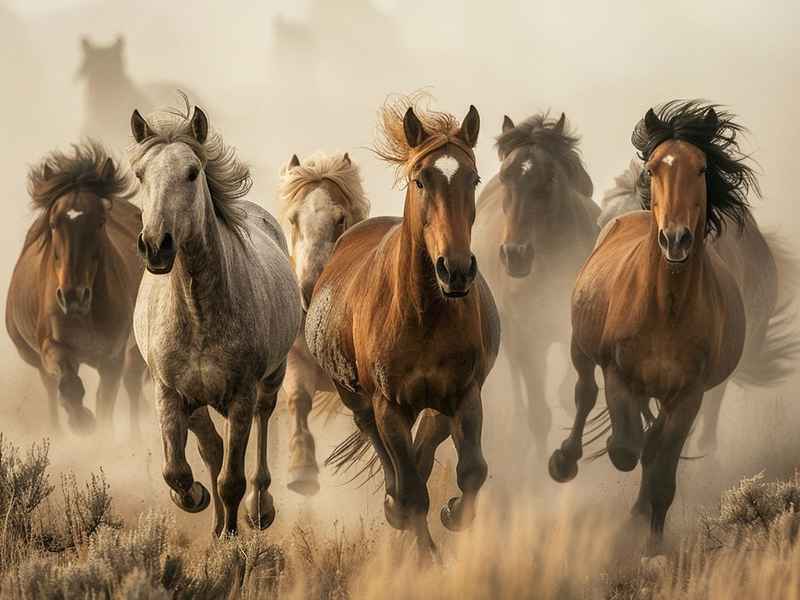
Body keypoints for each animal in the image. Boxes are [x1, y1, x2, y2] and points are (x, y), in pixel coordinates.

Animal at [6, 141, 147, 436]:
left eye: (101, 222)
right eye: (53, 223)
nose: (73, 297)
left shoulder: (113, 358)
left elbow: (106, 403)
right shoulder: (53, 347)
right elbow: (69, 386)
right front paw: (81, 422)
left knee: (133, 384)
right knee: (50, 388)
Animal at [129, 99, 302, 537]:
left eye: (192, 172)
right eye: (140, 174)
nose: (155, 246)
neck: (197, 313)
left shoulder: (241, 395)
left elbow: (232, 479)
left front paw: (231, 536)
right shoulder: (170, 393)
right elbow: (176, 469)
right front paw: (194, 499)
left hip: (269, 382)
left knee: (259, 430)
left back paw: (259, 508)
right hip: (197, 402)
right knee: (211, 448)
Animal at [278, 151, 370, 495]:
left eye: (340, 218)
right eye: (294, 219)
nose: (309, 289)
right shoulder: (296, 361)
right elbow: (299, 400)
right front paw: (301, 469)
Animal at [305, 96, 500, 556]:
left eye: (473, 178)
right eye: (420, 180)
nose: (456, 270)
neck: (422, 313)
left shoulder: (465, 394)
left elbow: (472, 471)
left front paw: (454, 513)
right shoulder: (389, 406)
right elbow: (412, 492)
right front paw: (424, 555)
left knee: (427, 443)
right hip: (357, 399)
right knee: (381, 443)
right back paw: (393, 503)